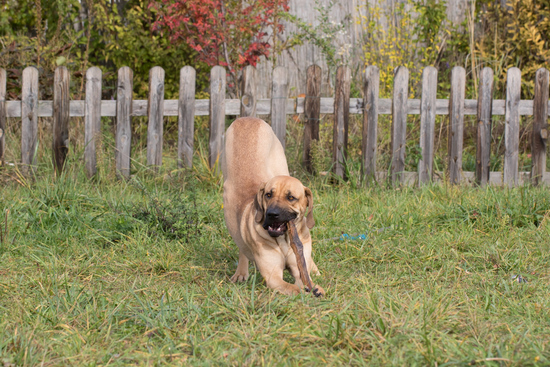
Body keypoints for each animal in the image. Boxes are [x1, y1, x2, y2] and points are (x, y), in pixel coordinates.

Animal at [223, 119, 326, 298]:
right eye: (268, 195)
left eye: (291, 197)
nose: (272, 214)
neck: (284, 241)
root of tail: (247, 119)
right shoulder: (273, 276)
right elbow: (295, 288)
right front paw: (309, 292)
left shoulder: (298, 268)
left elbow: (304, 278)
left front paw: (315, 286)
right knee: (240, 243)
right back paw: (241, 272)